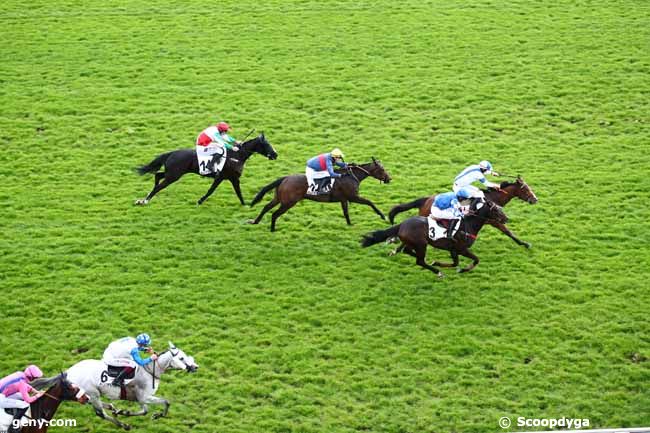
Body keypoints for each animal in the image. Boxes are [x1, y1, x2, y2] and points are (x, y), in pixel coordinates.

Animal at [66, 340, 199, 428]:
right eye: (181, 358)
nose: (195, 367)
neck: (149, 370)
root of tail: (69, 372)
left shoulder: (143, 397)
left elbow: (166, 402)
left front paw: (157, 415)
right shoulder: (142, 397)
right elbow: (146, 410)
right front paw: (125, 412)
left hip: (89, 394)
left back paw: (112, 407)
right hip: (93, 393)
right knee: (100, 413)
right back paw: (123, 425)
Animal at [135, 132, 278, 205]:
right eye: (267, 144)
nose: (275, 154)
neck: (236, 156)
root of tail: (171, 153)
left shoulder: (224, 178)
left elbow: (215, 190)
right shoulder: (230, 177)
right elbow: (225, 191)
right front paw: (246, 204)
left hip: (172, 173)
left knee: (157, 175)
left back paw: (145, 198)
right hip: (174, 175)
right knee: (159, 185)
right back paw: (145, 200)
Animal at [247, 158, 390, 231]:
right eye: (382, 169)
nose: (389, 178)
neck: (350, 176)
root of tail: (285, 178)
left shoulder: (343, 199)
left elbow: (346, 213)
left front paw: (350, 224)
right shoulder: (353, 197)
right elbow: (370, 202)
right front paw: (383, 216)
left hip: (279, 198)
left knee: (266, 207)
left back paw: (255, 221)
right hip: (288, 202)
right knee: (275, 214)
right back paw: (272, 230)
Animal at [360, 199, 506, 276]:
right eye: (496, 210)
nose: (507, 219)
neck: (469, 225)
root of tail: (402, 224)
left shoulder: (453, 249)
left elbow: (455, 263)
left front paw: (437, 262)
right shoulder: (461, 249)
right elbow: (476, 260)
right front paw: (463, 269)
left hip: (415, 243)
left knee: (408, 251)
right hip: (421, 244)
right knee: (419, 261)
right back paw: (438, 272)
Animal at [388, 176, 536, 248]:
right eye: (526, 189)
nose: (535, 199)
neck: (492, 199)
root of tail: (425, 199)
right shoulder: (494, 221)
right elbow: (508, 232)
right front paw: (524, 244)